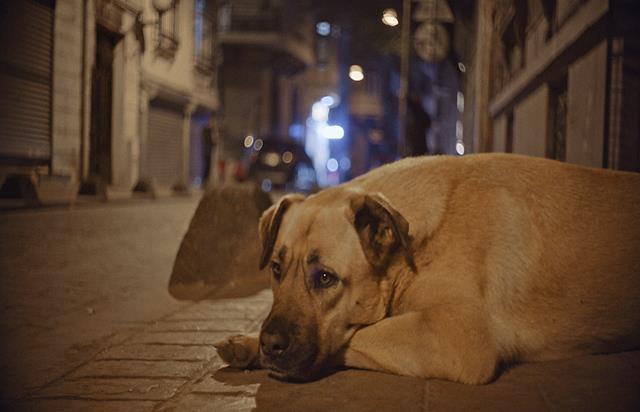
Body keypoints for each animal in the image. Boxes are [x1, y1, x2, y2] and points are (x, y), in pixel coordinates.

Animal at [215, 153, 640, 384]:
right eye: (275, 269)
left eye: (324, 278)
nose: (271, 344)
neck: (411, 249)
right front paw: (249, 344)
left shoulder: (456, 336)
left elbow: (361, 335)